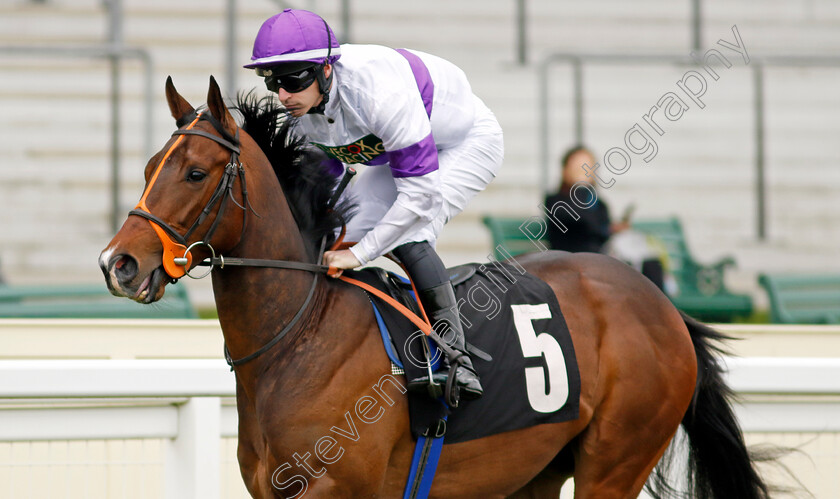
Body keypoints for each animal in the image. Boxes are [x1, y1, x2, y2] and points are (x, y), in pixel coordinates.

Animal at [100, 76, 776, 498]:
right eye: (148, 168)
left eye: (194, 173)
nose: (118, 263)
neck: (301, 337)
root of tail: (661, 304)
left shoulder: (336, 488)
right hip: (533, 470)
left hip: (615, 461)